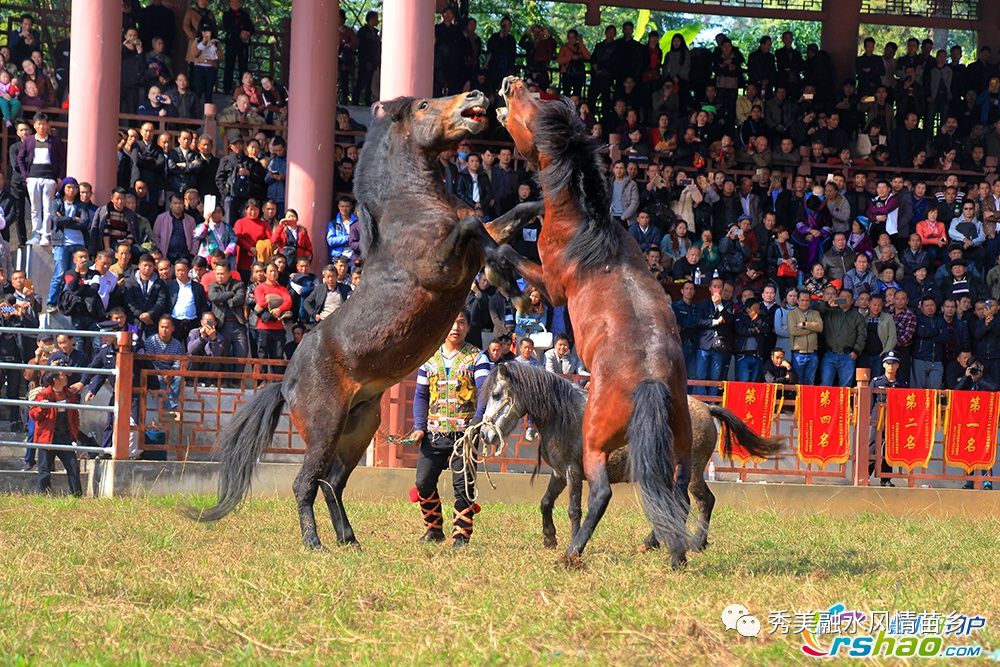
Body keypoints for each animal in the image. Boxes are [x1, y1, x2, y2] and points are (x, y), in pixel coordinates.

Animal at [476, 366, 780, 552]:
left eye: (496, 394)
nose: (486, 435)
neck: (566, 414)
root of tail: (706, 408)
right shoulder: (559, 474)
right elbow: (545, 502)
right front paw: (549, 538)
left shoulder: (574, 472)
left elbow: (574, 510)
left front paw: (574, 541)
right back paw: (655, 542)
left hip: (691, 471)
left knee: (702, 501)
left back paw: (693, 543)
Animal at [494, 78, 696, 568]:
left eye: (530, 110)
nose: (510, 82)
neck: (585, 226)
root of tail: (651, 381)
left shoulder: (552, 285)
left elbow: (508, 255)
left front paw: (505, 279)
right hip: (679, 443)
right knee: (679, 491)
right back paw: (675, 552)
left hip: (594, 446)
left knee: (601, 494)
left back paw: (571, 553)